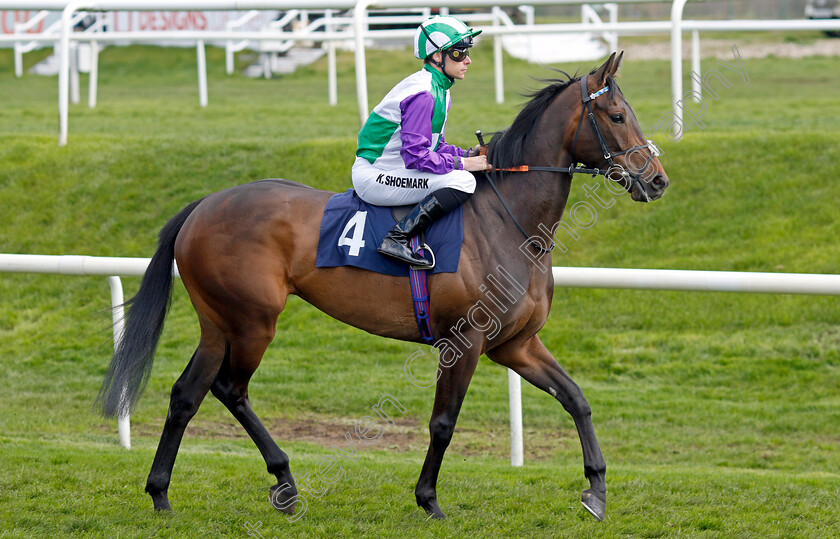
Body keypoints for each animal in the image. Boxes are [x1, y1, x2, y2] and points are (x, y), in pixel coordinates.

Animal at [97, 52, 668, 520]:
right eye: (617, 116)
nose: (658, 179)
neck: (510, 224)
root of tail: (204, 205)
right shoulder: (463, 341)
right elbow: (443, 422)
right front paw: (429, 499)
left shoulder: (516, 344)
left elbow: (577, 399)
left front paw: (596, 490)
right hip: (253, 320)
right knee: (230, 389)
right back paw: (285, 481)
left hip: (218, 322)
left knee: (187, 394)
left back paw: (161, 492)